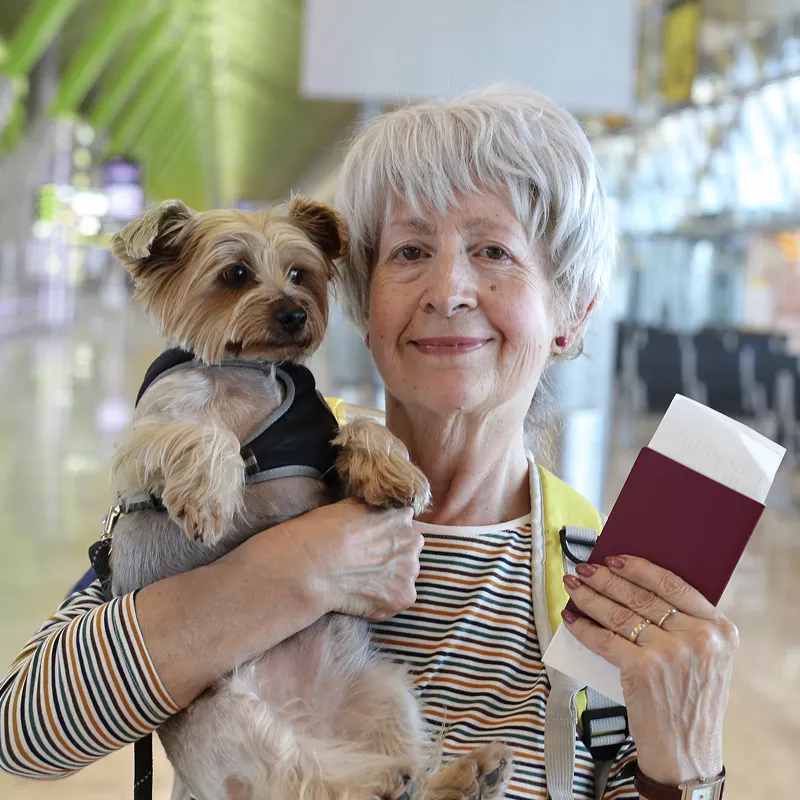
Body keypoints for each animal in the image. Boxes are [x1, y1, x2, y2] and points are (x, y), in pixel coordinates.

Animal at [107, 196, 513, 800]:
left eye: (300, 274)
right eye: (235, 275)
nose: (294, 314)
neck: (248, 369)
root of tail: (314, 723)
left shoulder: (323, 458)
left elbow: (362, 426)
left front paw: (392, 469)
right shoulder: (141, 442)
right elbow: (205, 433)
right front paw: (210, 496)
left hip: (383, 689)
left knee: (393, 770)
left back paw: (462, 775)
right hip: (230, 716)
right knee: (306, 780)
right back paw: (383, 782)